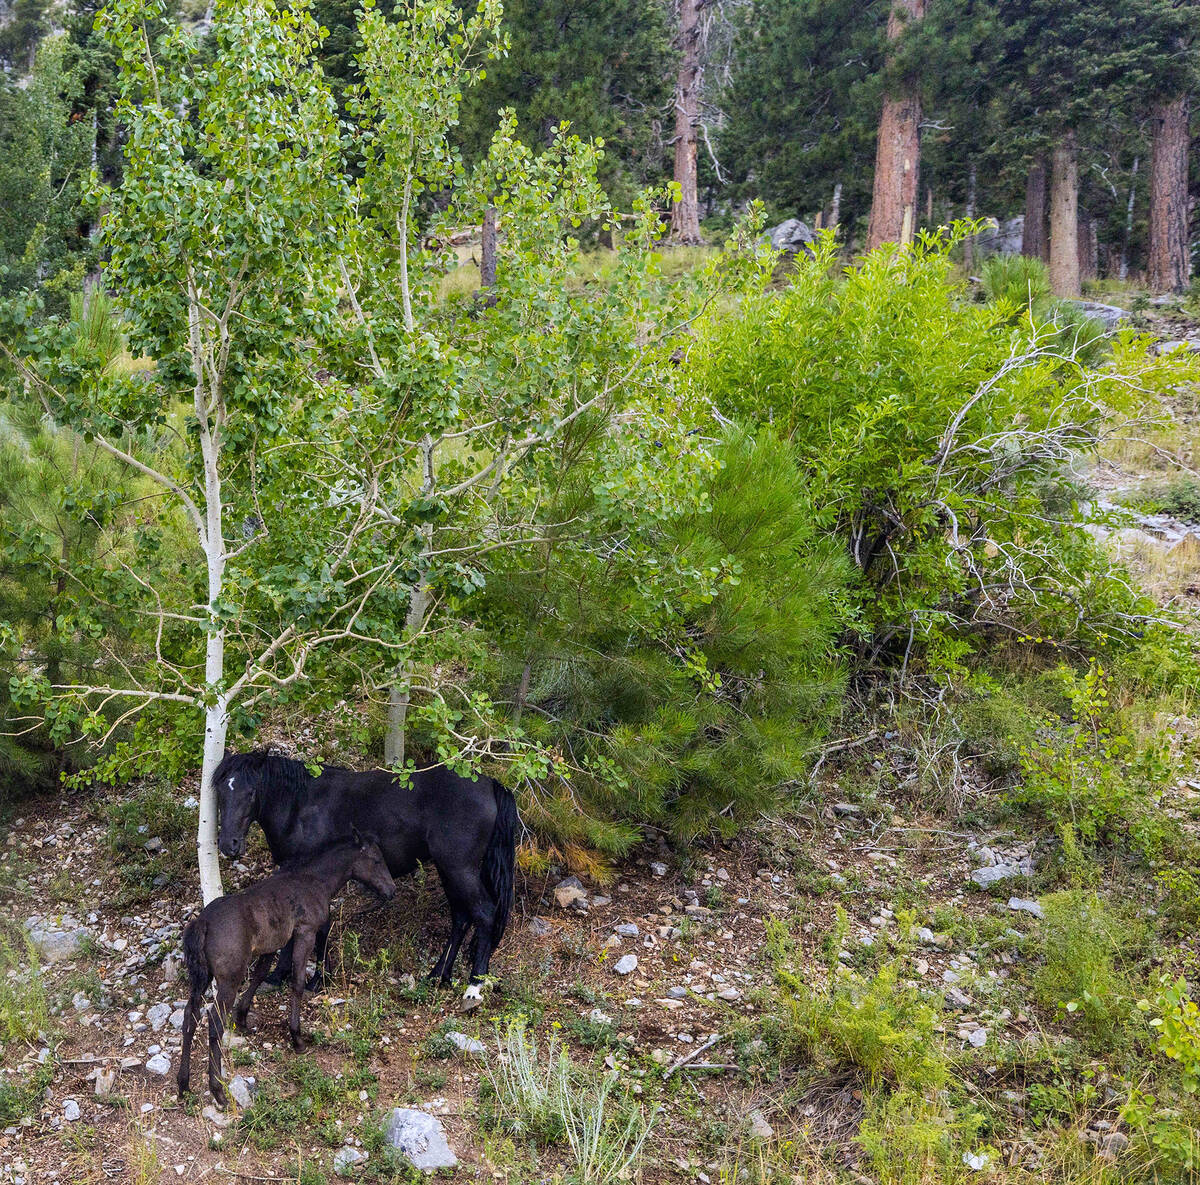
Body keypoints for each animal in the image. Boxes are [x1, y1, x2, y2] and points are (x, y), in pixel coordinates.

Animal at [176, 834, 393, 1103]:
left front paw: (243, 1018)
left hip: (200, 977)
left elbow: (260, 975)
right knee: (214, 1022)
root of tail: (203, 922)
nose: (391, 890)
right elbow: (297, 982)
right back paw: (218, 1092)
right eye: (377, 860)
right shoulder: (305, 932)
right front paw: (297, 1038)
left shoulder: (273, 943)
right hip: (228, 979)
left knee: (190, 1016)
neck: (313, 880)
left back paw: (183, 1085)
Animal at [216, 753, 516, 1002]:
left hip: (459, 869)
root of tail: (490, 784)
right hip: (449, 870)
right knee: (461, 918)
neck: (300, 807)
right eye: (220, 792)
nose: (229, 845)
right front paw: (281, 975)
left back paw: (474, 985)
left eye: (251, 792)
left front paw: (310, 979)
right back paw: (436, 975)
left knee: (484, 914)